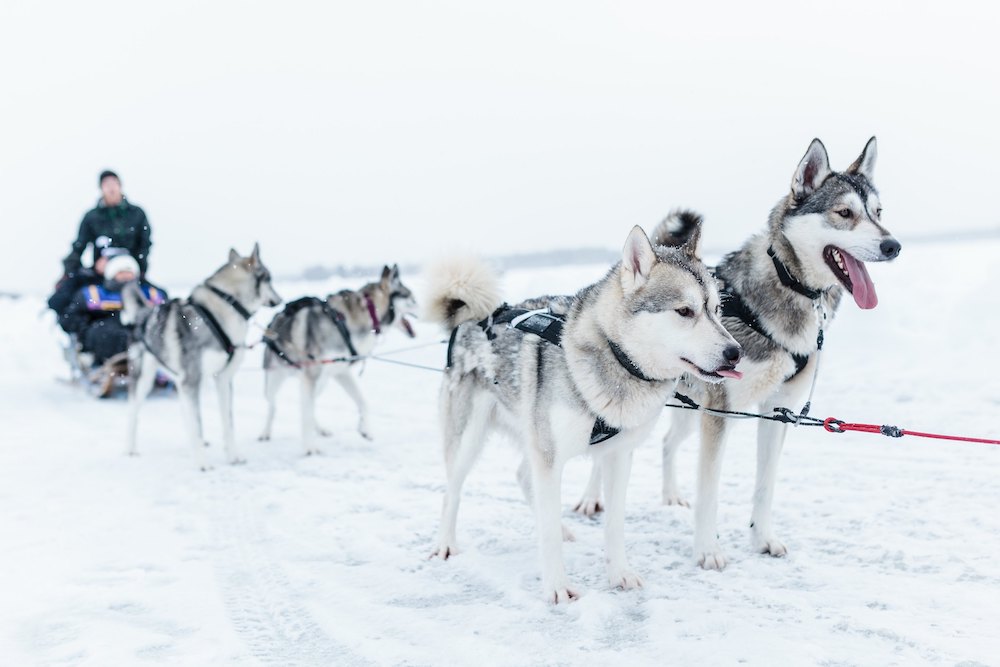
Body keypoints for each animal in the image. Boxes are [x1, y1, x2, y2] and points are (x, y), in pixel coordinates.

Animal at [125, 245, 284, 470]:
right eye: (269, 279)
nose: (281, 300)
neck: (224, 309)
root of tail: (145, 313)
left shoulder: (223, 379)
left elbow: (228, 423)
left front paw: (233, 456)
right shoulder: (192, 380)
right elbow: (198, 426)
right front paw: (202, 463)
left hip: (179, 381)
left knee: (185, 415)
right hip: (144, 380)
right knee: (133, 413)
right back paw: (130, 448)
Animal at [258, 264, 418, 456]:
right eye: (412, 298)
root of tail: (274, 321)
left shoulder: (341, 372)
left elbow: (363, 401)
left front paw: (366, 430)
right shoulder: (312, 375)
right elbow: (306, 415)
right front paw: (309, 447)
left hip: (321, 382)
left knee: (309, 405)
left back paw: (321, 429)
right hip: (275, 380)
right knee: (273, 406)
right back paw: (265, 432)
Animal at [428, 226, 744, 604]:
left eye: (716, 309)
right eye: (684, 311)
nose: (735, 352)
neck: (615, 356)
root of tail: (472, 317)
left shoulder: (617, 456)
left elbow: (614, 524)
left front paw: (619, 574)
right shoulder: (549, 457)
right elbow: (547, 534)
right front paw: (557, 587)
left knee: (524, 478)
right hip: (470, 438)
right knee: (453, 491)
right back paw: (445, 544)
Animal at [576, 137, 904, 568]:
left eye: (878, 213)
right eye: (844, 213)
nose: (893, 245)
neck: (786, 286)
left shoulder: (777, 411)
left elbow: (765, 486)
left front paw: (762, 538)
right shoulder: (719, 412)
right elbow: (709, 491)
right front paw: (707, 550)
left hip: (687, 408)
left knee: (667, 442)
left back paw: (671, 495)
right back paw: (590, 498)